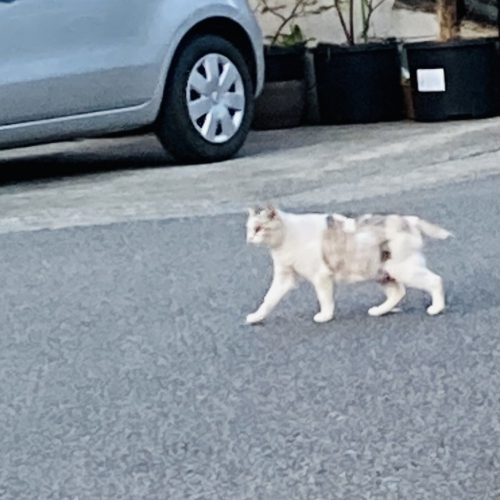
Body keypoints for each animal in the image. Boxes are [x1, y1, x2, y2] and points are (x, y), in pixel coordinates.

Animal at [245, 206, 452, 324]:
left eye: (259, 228)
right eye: (248, 229)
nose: (249, 239)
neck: (285, 238)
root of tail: (408, 219)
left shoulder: (321, 277)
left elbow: (324, 299)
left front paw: (325, 316)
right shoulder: (284, 278)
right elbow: (269, 300)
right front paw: (256, 317)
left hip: (403, 269)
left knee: (436, 281)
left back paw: (436, 308)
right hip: (382, 272)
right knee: (398, 292)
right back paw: (379, 311)